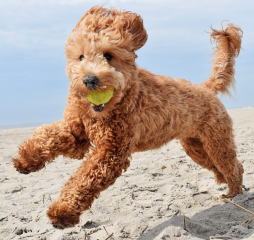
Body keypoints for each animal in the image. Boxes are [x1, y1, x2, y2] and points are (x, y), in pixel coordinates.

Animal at [12, 6, 243, 229]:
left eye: (108, 55)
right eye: (80, 57)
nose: (89, 80)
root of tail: (206, 87)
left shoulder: (112, 150)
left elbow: (84, 179)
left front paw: (62, 211)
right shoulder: (77, 132)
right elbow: (48, 135)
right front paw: (26, 159)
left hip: (216, 141)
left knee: (233, 165)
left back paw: (234, 192)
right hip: (196, 146)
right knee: (219, 165)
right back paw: (224, 183)